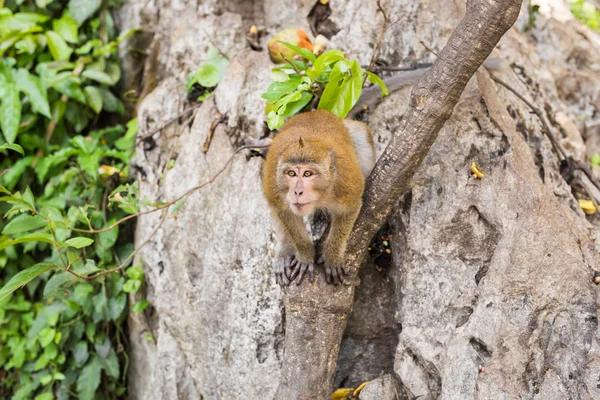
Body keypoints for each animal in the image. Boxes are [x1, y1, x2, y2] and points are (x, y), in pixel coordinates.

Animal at [262, 108, 376, 286]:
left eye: (308, 174)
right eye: (291, 173)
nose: (297, 191)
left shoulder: (346, 184)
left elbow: (349, 210)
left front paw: (332, 257)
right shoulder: (275, 186)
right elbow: (284, 212)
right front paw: (305, 256)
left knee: (361, 133)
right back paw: (284, 251)